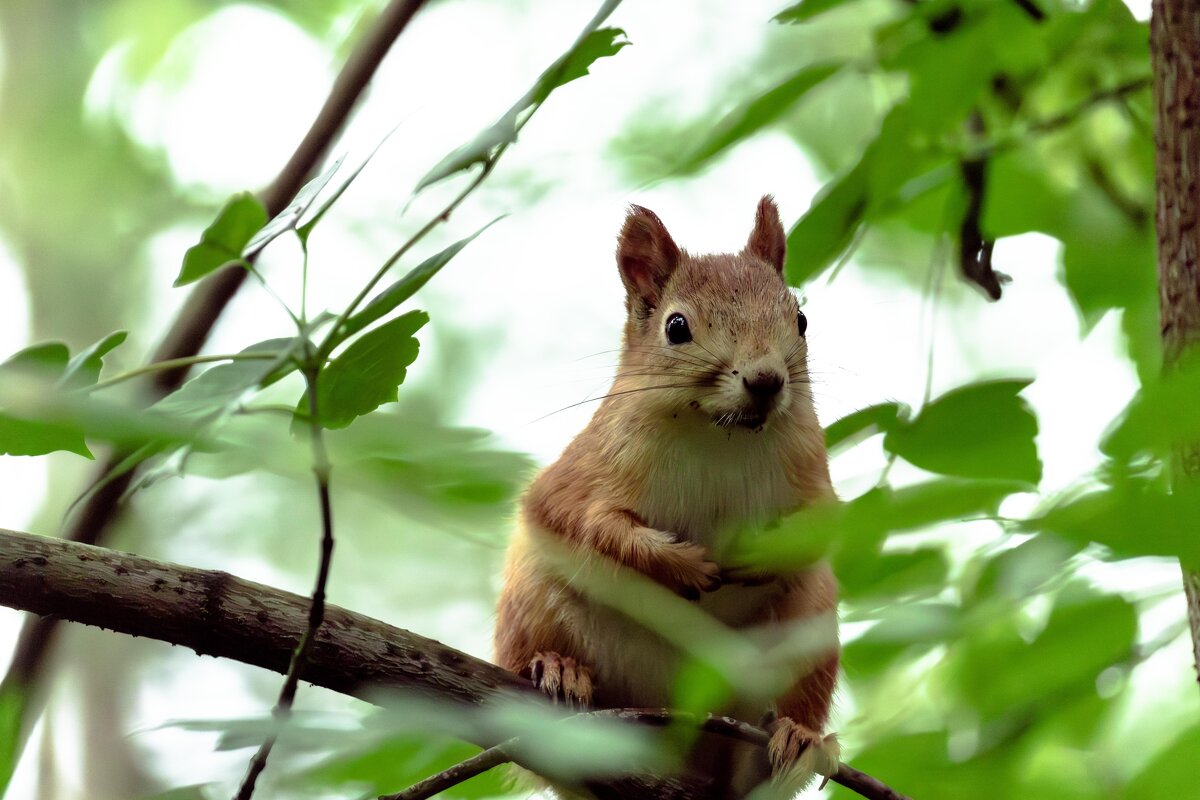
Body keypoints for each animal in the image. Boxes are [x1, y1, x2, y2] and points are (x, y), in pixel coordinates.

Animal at [494, 196, 840, 798]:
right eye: (676, 327)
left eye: (800, 318)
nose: (766, 380)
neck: (720, 435)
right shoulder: (585, 474)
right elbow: (590, 523)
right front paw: (680, 563)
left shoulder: (812, 473)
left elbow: (822, 525)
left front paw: (757, 554)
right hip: (535, 590)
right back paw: (557, 668)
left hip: (811, 630)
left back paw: (794, 741)